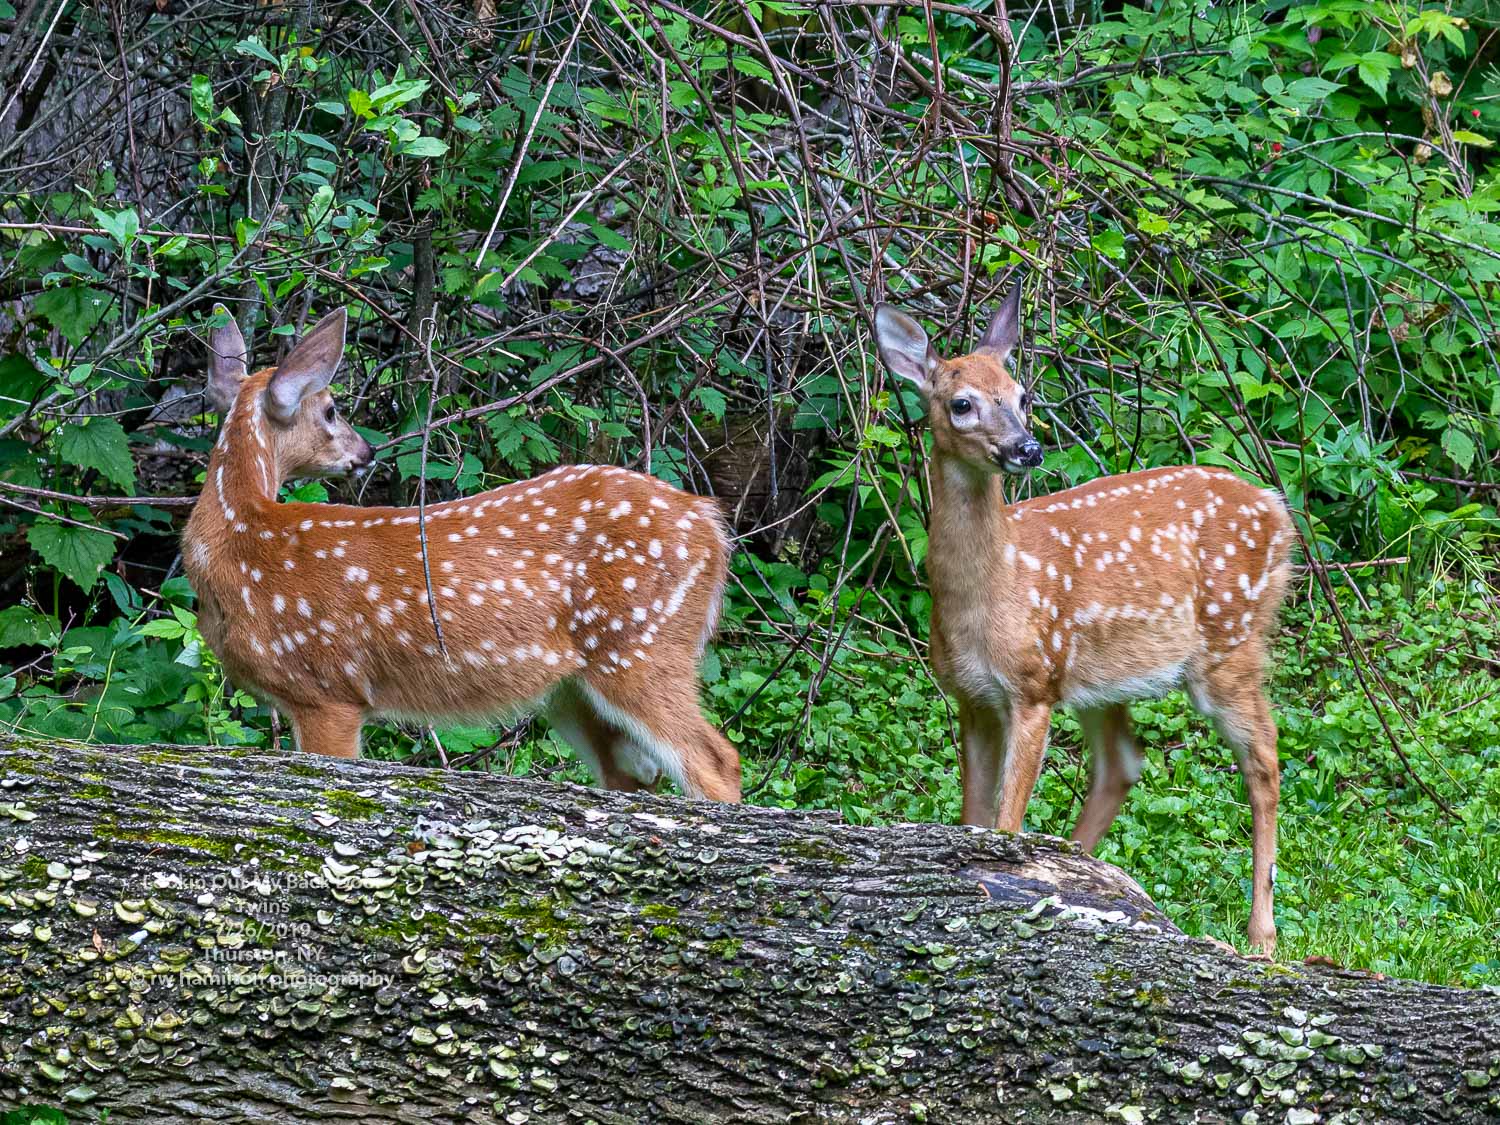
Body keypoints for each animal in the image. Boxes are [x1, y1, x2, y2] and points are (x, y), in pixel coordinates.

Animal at [181, 306, 741, 803]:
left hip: (641, 641)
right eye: (332, 410)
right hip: (572, 688)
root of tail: (712, 526)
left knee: (715, 760)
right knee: (633, 772)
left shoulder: (328, 688)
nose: (366, 452)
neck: (240, 540)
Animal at [873, 278, 1294, 953]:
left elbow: (1007, 823)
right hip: (1104, 677)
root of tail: (1278, 511)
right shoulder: (970, 696)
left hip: (1231, 640)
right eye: (962, 404)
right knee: (1124, 763)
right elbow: (973, 819)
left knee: (1264, 758)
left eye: (1022, 395)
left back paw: (1261, 936)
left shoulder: (1033, 682)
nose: (1027, 447)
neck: (995, 589)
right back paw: (1085, 873)